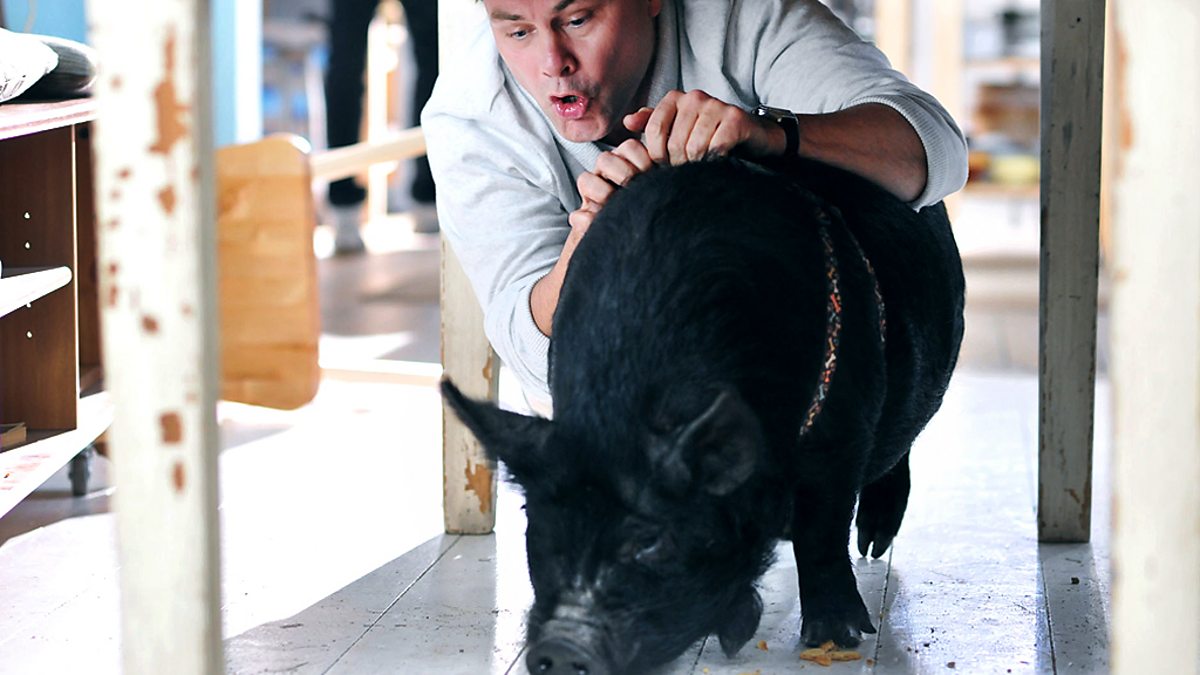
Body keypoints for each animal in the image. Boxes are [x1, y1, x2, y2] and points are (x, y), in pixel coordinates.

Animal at [442, 155, 965, 675]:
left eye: (651, 541)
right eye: (541, 528)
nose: (561, 647)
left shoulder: (839, 431)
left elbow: (821, 531)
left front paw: (837, 638)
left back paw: (873, 546)